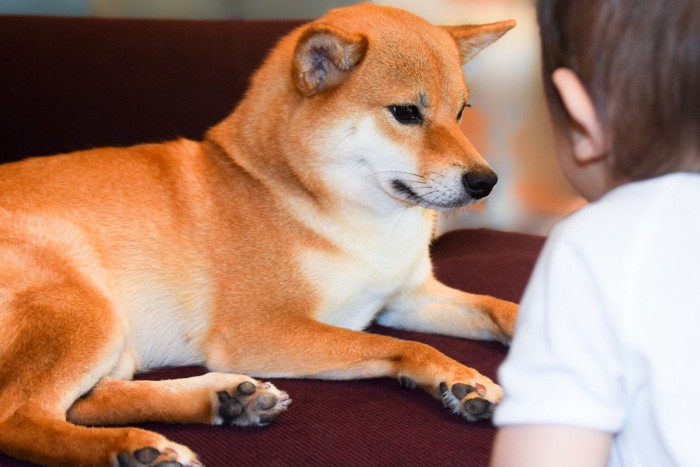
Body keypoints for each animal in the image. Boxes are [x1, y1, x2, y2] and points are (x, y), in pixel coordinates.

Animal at [0, 4, 516, 467]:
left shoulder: (406, 297)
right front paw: (456, 374)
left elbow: (499, 306)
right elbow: (405, 346)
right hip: (84, 311)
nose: (485, 181)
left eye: (462, 112)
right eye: (406, 113)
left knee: (86, 403)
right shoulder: (261, 331)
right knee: (21, 418)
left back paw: (226, 398)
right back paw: (133, 449)